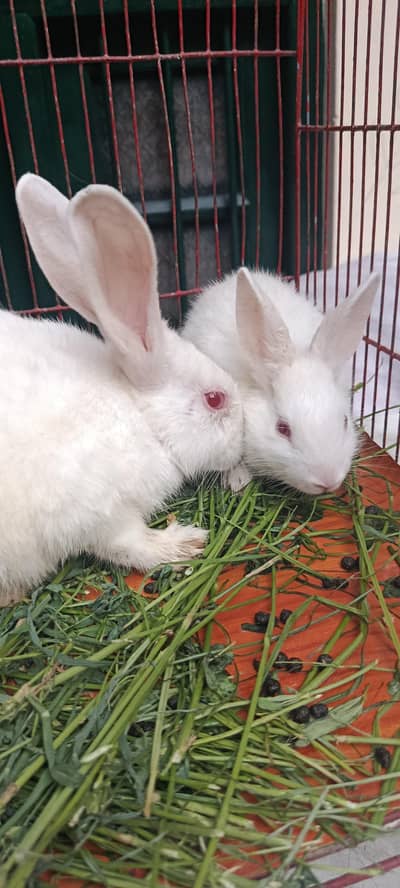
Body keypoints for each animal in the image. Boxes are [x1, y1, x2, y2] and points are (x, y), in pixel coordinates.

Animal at [0, 174, 244, 606]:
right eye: (215, 399)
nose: (244, 438)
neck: (140, 418)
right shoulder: (98, 511)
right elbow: (129, 545)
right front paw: (185, 544)